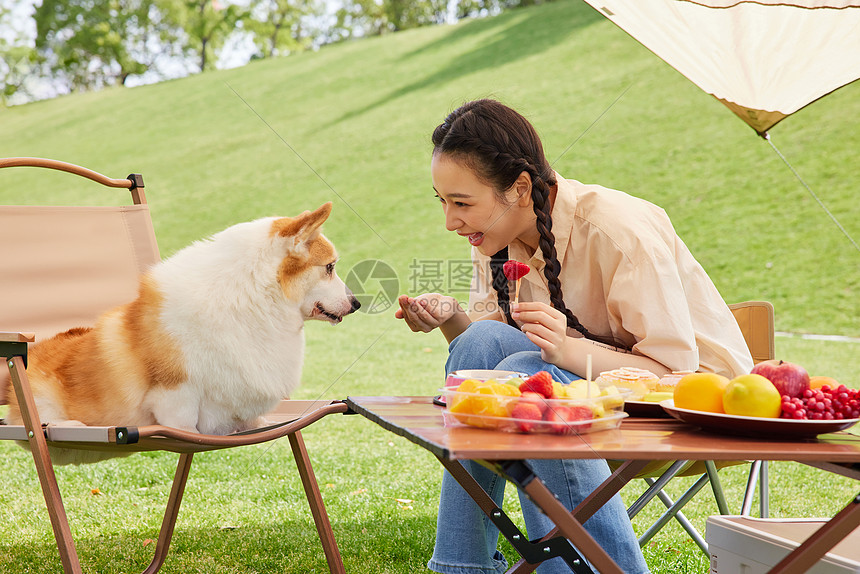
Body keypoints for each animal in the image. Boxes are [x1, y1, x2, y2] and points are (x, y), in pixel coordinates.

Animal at [1, 202, 358, 464]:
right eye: (329, 268)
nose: (355, 303)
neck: (250, 297)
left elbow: (253, 421)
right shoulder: (175, 394)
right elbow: (185, 424)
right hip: (39, 398)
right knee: (30, 422)